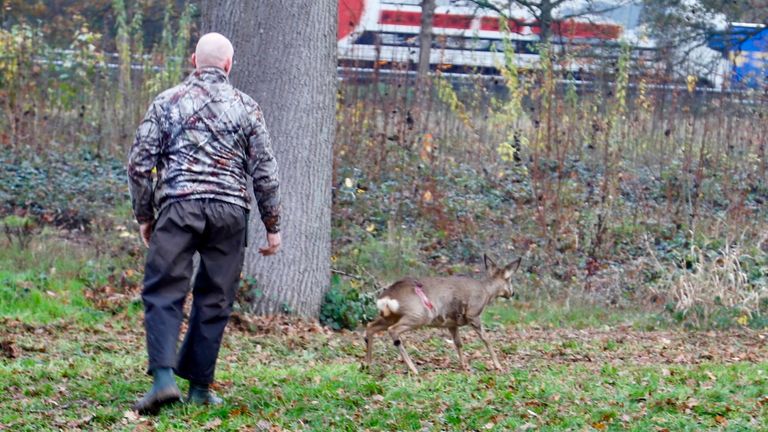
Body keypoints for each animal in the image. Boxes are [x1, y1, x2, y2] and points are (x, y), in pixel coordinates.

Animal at [362, 255, 520, 372]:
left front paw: (464, 366)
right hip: (419, 314)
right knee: (393, 330)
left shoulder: (452, 323)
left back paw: (367, 365)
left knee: (370, 326)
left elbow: (458, 343)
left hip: (390, 316)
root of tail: (386, 298)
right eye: (509, 279)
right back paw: (413, 369)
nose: (512, 293)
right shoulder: (473, 314)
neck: (486, 293)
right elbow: (486, 339)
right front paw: (498, 366)